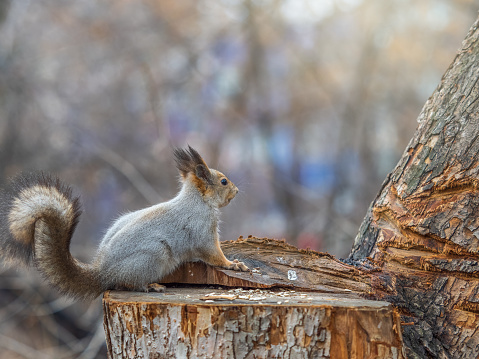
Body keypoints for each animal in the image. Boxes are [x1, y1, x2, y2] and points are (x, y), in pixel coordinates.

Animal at [0, 146, 248, 300]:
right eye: (223, 182)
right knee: (128, 284)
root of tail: (103, 273)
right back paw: (150, 286)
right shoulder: (202, 229)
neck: (197, 200)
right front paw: (233, 264)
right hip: (153, 256)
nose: (237, 191)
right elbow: (213, 254)